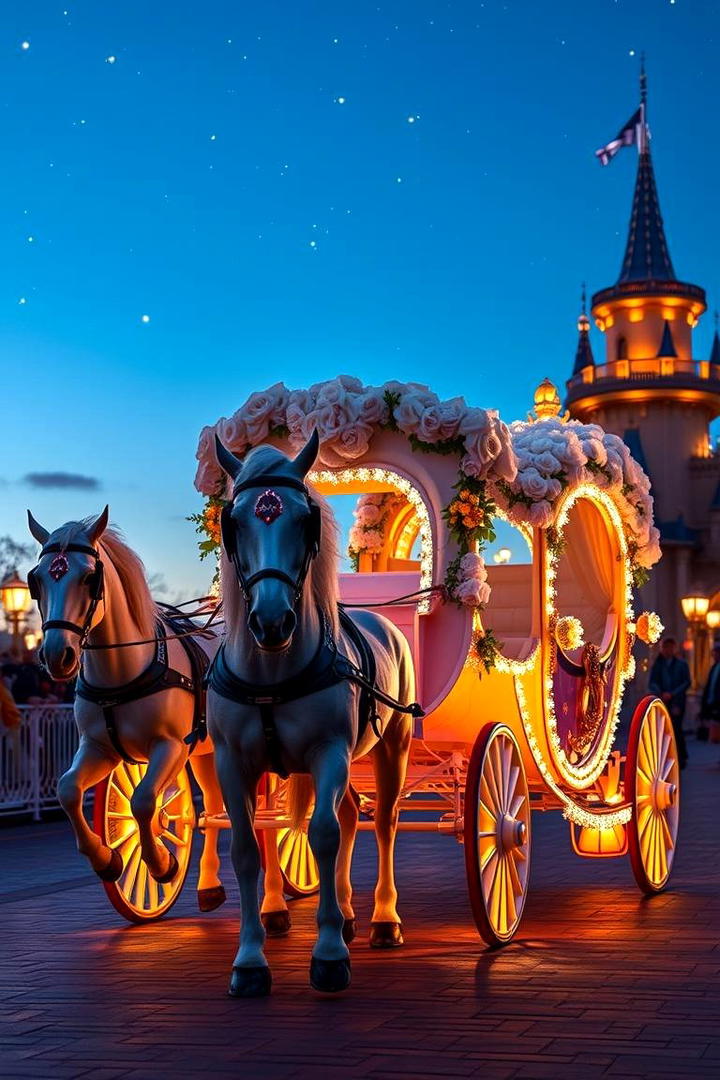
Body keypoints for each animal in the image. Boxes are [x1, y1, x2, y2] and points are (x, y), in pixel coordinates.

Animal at [209, 432, 416, 993]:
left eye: (305, 519)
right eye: (234, 521)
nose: (271, 621)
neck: (272, 673)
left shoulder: (330, 752)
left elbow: (322, 836)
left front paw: (328, 955)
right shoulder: (232, 761)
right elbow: (245, 848)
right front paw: (249, 960)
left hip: (391, 746)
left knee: (382, 823)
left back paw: (382, 919)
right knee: (348, 814)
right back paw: (344, 913)